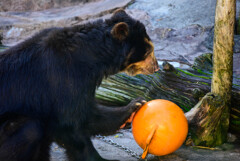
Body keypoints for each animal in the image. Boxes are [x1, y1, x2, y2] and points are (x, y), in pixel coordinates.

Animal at [0, 9, 159, 160]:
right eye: (149, 51)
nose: (156, 67)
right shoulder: (64, 78)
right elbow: (69, 123)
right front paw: (100, 159)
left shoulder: (84, 82)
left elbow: (89, 113)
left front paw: (134, 106)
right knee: (30, 130)